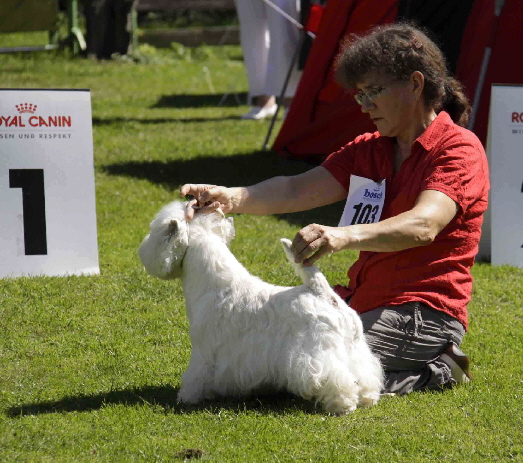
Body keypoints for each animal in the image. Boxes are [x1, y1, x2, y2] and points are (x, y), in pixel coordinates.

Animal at [140, 201, 384, 416]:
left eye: (156, 231)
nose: (142, 249)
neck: (212, 282)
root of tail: (325, 294)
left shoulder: (204, 351)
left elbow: (196, 377)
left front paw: (187, 398)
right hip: (354, 348)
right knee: (366, 373)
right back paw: (368, 398)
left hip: (319, 353)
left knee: (338, 378)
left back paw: (343, 406)